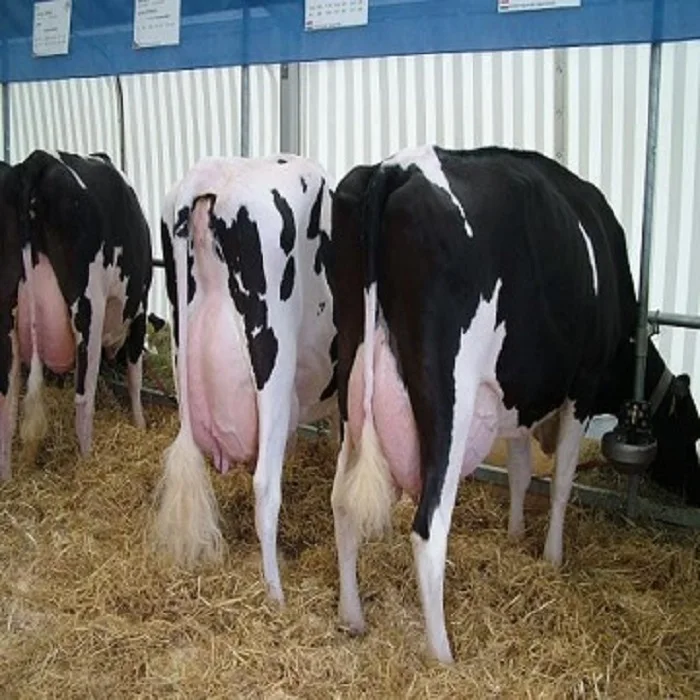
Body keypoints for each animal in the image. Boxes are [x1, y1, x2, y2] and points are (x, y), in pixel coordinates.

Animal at [0, 149, 153, 480]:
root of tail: (37, 161)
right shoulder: (139, 308)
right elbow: (135, 376)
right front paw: (140, 424)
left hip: (5, 316)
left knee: (4, 403)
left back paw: (5, 478)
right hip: (87, 309)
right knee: (83, 398)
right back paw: (87, 461)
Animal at [329, 144, 700, 663]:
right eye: (692, 430)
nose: (697, 490)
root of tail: (396, 166)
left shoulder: (520, 396)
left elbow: (521, 471)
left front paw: (515, 533)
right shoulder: (582, 385)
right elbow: (561, 480)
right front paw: (552, 557)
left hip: (350, 380)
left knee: (342, 502)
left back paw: (352, 616)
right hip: (447, 397)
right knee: (428, 529)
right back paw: (443, 655)